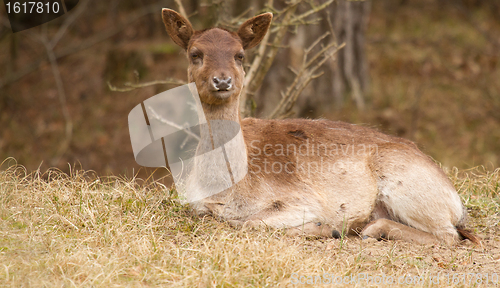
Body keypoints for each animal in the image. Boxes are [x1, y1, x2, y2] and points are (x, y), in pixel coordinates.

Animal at [161, 7, 480, 245]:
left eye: (240, 55)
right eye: (195, 54)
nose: (222, 80)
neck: (226, 191)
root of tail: (456, 201)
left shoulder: (300, 200)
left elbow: (249, 224)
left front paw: (327, 227)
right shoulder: (194, 204)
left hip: (408, 186)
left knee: (450, 235)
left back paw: (368, 229)